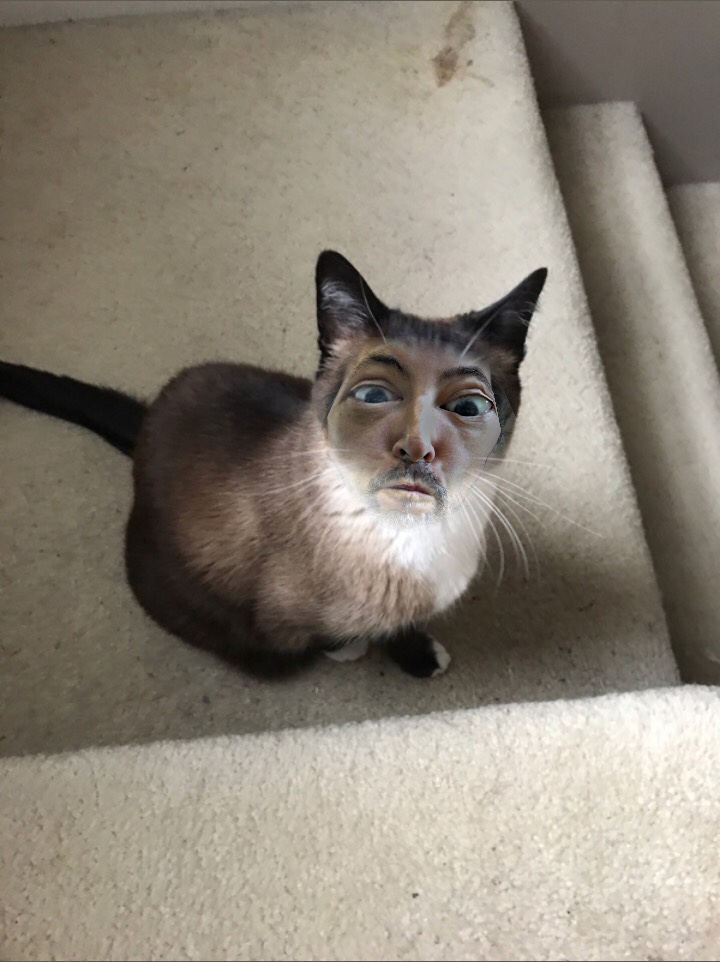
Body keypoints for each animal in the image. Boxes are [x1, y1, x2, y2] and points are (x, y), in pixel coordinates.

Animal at [0, 251, 547, 678]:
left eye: (468, 407)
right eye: (374, 397)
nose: (417, 448)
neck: (416, 535)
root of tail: (151, 415)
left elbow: (402, 626)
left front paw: (420, 656)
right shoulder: (288, 615)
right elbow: (333, 633)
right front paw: (355, 649)